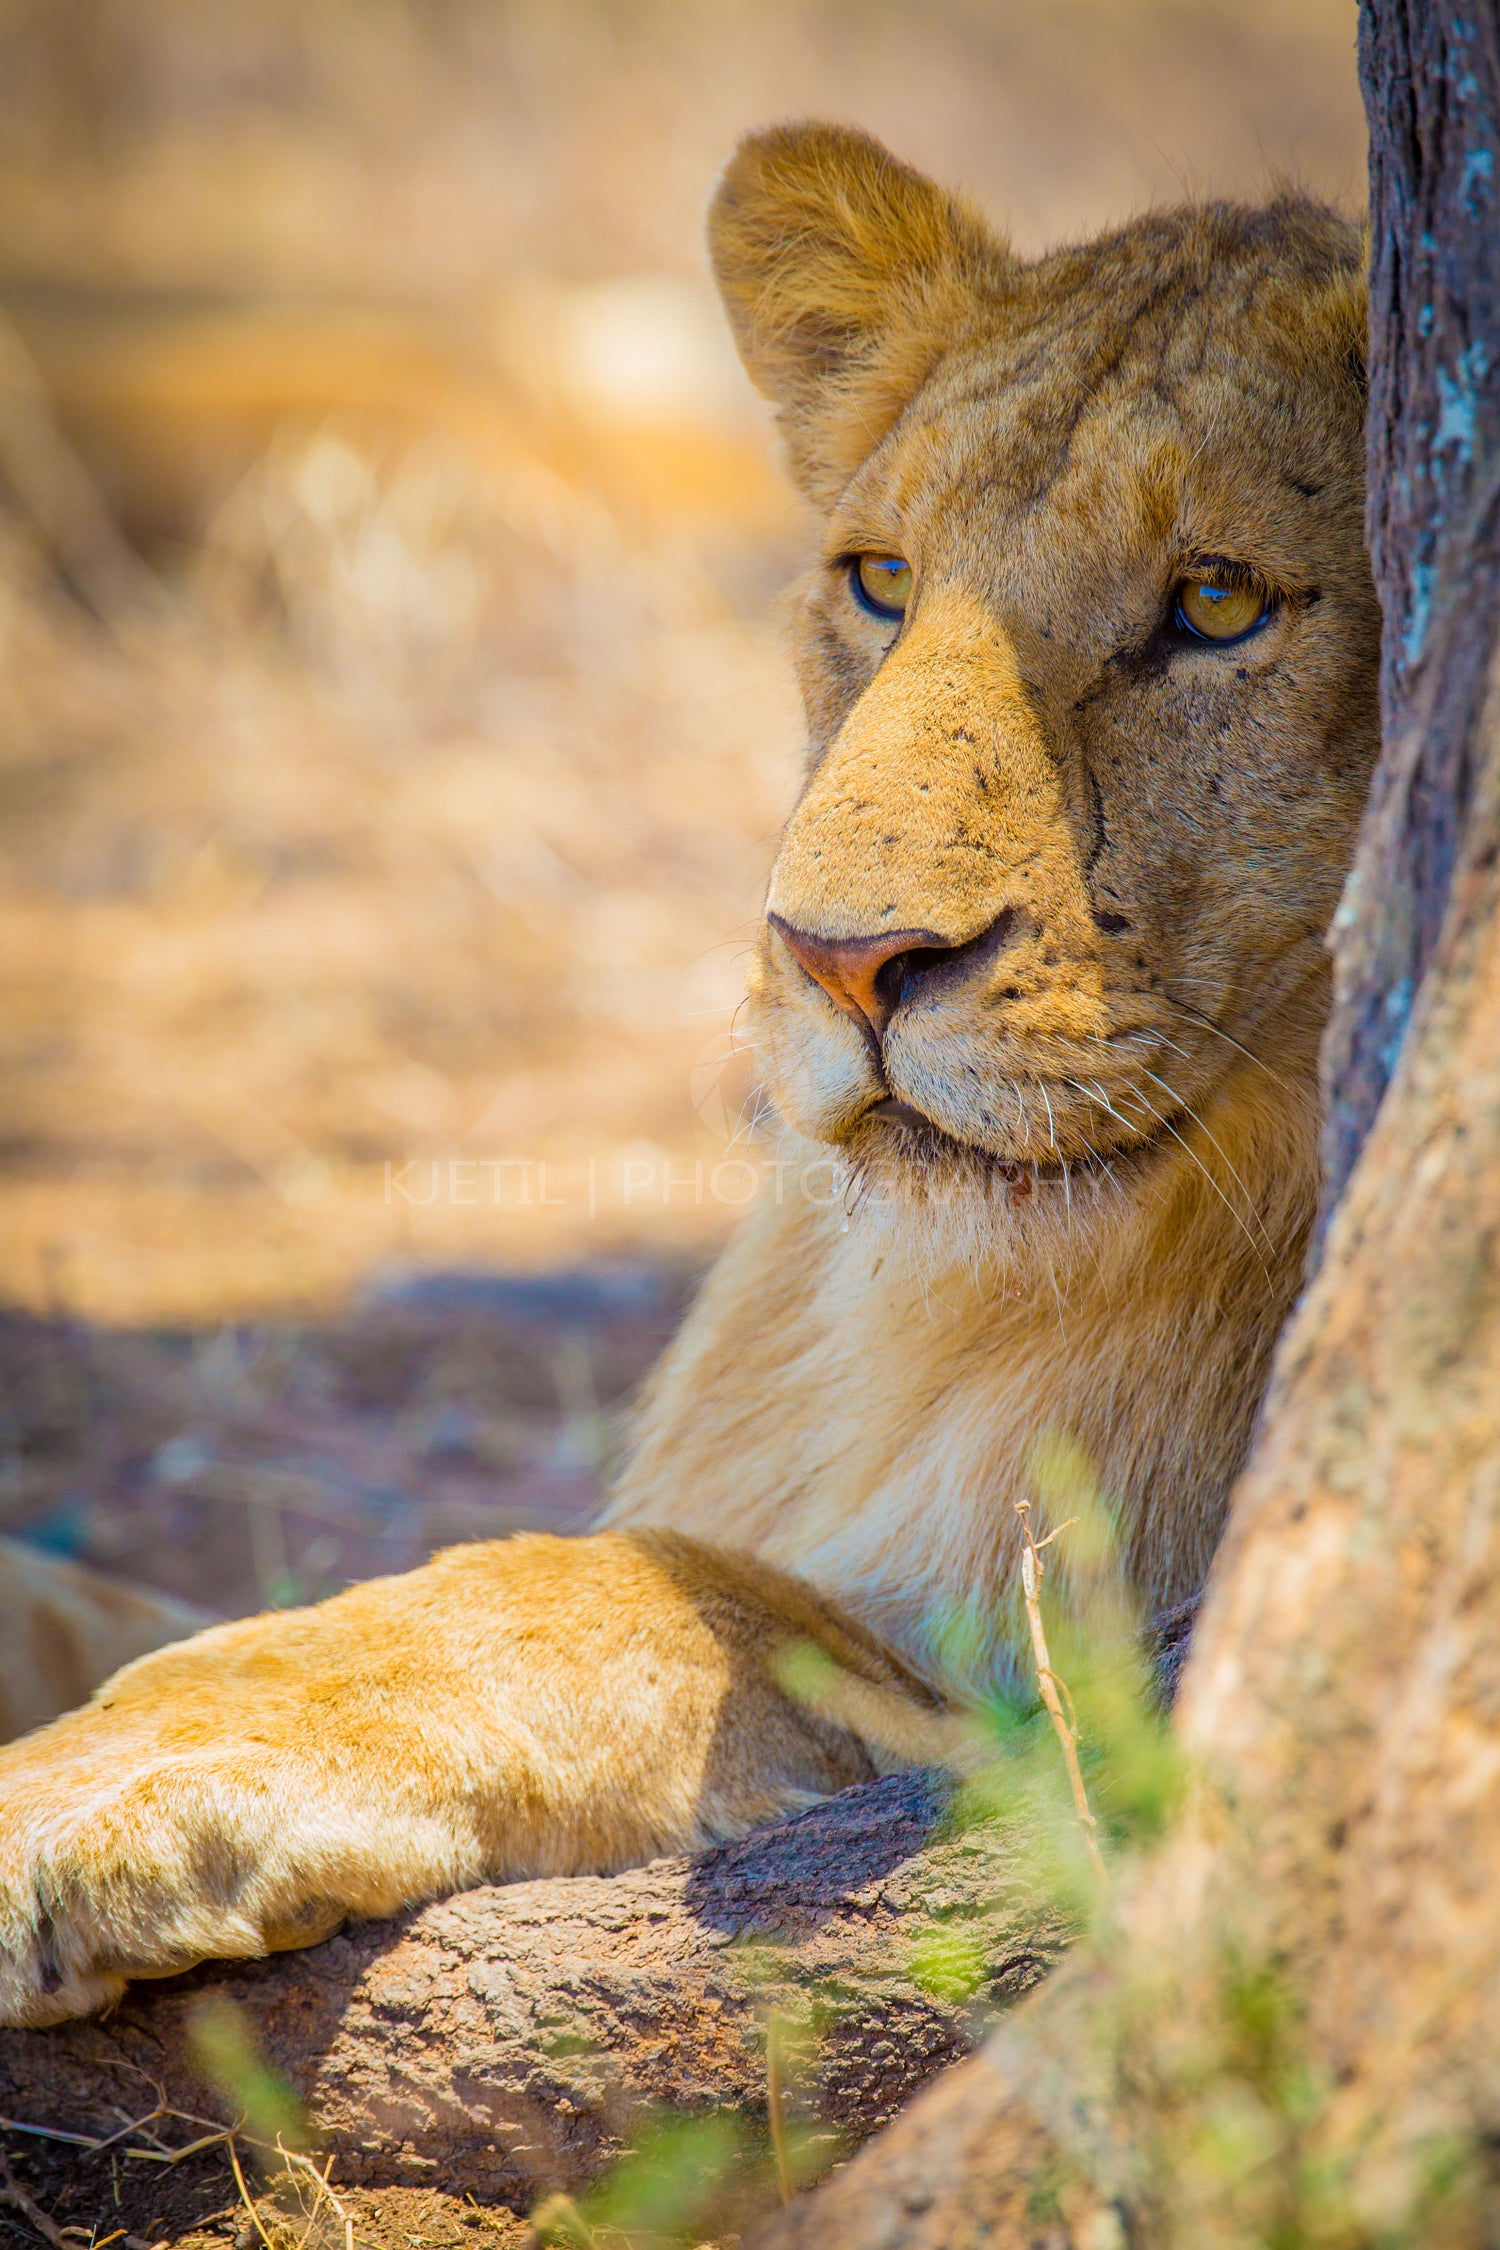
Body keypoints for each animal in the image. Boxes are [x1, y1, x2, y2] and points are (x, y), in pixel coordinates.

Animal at [0, 118, 1376, 2025]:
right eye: (881, 581)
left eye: (1223, 603)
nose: (845, 957)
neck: (956, 1311)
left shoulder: (1071, 1721)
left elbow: (648, 1592)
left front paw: (95, 1790)